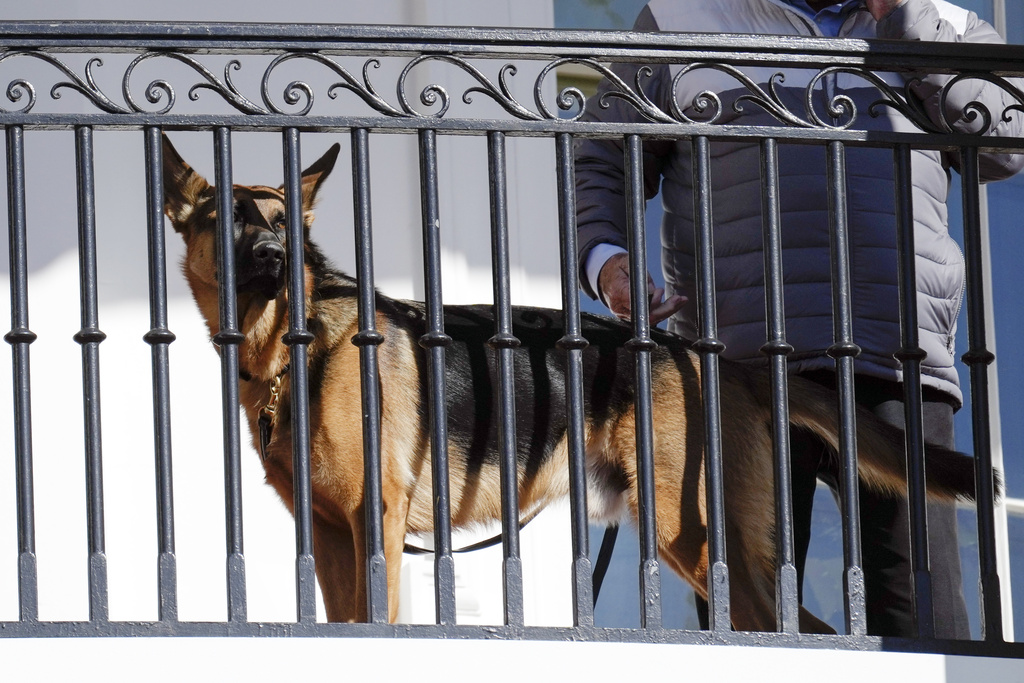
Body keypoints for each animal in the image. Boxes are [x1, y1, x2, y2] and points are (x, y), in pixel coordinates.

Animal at [161, 135, 983, 634]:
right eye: (227, 219)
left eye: (282, 227)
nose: (272, 258)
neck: (291, 348)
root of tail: (720, 360)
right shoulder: (333, 536)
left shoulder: (376, 523)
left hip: (692, 532)